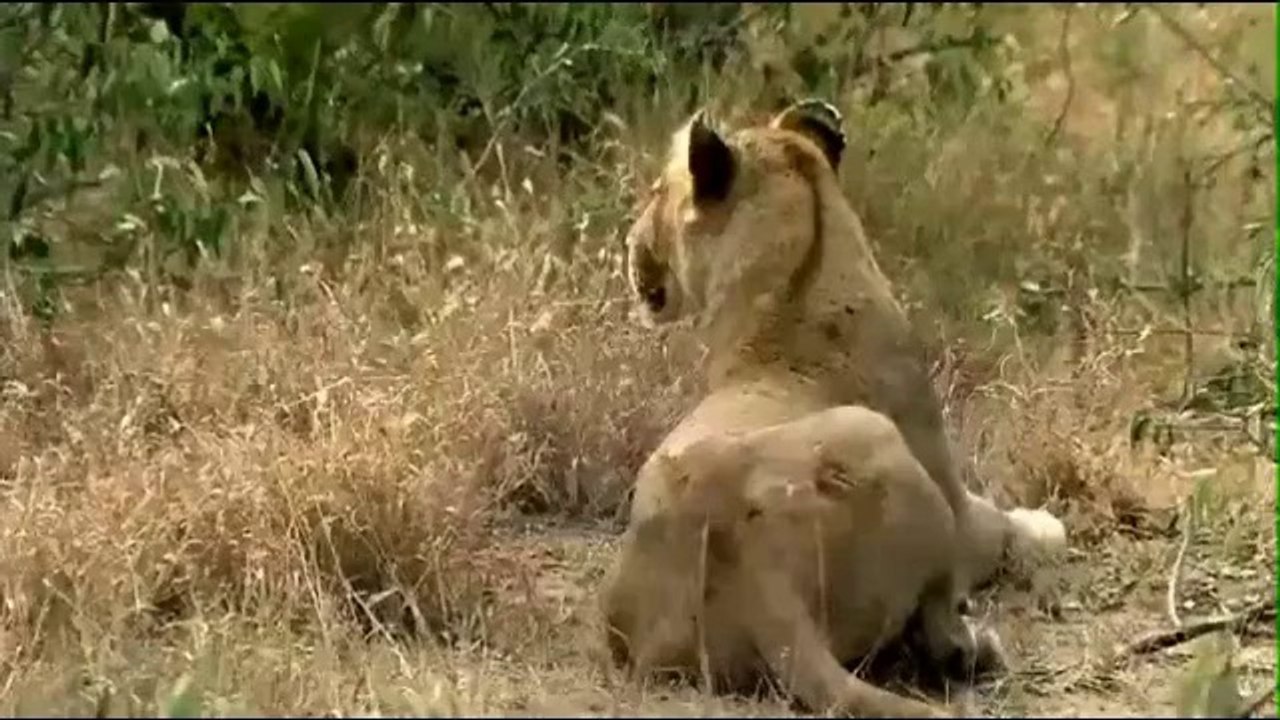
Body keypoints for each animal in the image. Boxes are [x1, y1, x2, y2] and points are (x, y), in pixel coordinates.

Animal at [622, 99, 1066, 596]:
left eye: (657, 191)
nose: (627, 241)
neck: (803, 275)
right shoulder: (963, 512)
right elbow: (1012, 525)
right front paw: (1044, 524)